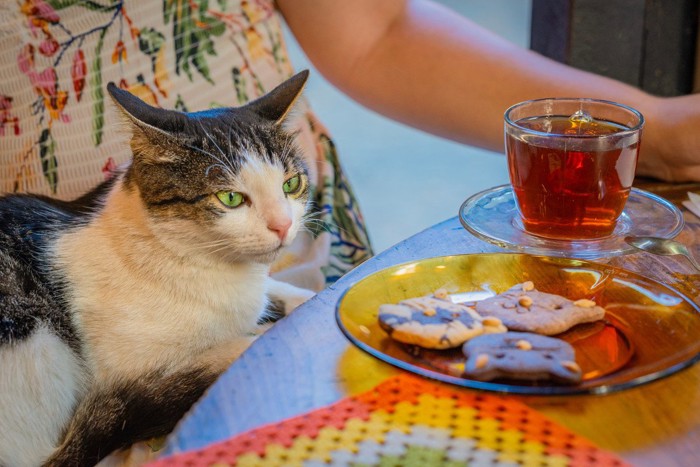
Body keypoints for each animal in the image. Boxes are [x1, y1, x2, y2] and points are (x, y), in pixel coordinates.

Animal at [0, 70, 314, 467]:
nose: (283, 226)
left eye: (292, 184)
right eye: (230, 198)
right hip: (38, 341)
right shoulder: (127, 366)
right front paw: (259, 335)